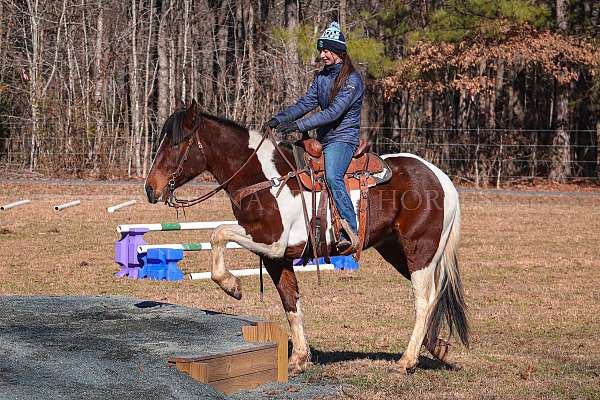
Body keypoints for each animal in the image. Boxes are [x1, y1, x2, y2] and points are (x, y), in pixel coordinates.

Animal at [144, 100, 468, 376]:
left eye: (176, 143)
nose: (150, 188)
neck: (264, 179)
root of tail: (441, 178)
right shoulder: (276, 258)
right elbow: (291, 304)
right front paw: (298, 359)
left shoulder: (271, 241)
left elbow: (218, 233)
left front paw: (232, 286)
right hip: (397, 251)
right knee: (434, 296)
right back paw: (437, 348)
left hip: (419, 250)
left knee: (424, 300)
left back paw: (406, 361)